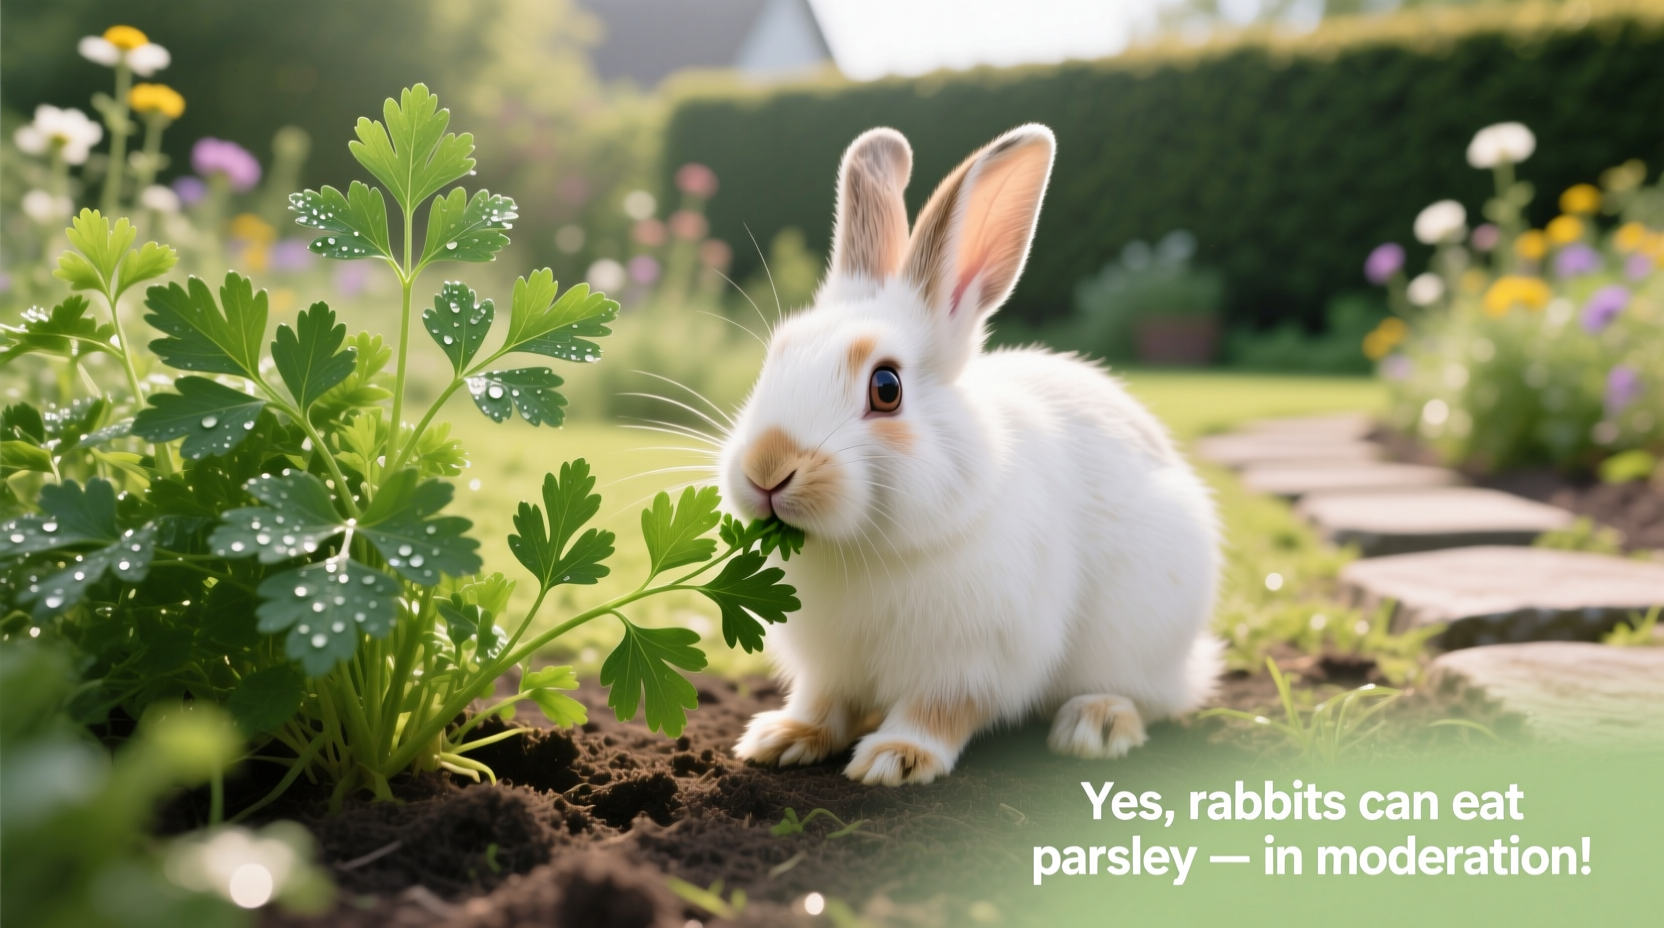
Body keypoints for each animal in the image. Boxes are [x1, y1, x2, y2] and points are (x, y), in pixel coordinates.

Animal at [718, 124, 1222, 786]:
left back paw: (1097, 723)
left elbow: (939, 710)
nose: (767, 469)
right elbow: (823, 703)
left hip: (1139, 633)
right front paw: (780, 738)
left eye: (886, 387)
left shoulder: (971, 658)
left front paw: (893, 759)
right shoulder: (828, 666)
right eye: (775, 356)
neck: (861, 551)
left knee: (1146, 696)